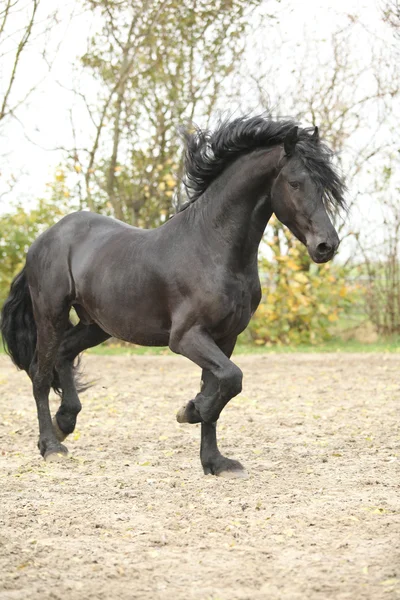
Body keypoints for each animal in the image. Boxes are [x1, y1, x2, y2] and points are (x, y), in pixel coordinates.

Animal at [0, 115, 346, 476]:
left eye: (324, 187)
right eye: (294, 183)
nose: (327, 245)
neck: (213, 250)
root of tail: (45, 237)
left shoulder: (225, 338)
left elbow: (220, 387)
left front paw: (215, 461)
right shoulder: (185, 337)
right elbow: (231, 379)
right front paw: (190, 411)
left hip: (96, 325)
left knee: (65, 355)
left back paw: (65, 422)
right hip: (51, 314)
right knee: (40, 373)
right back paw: (51, 446)